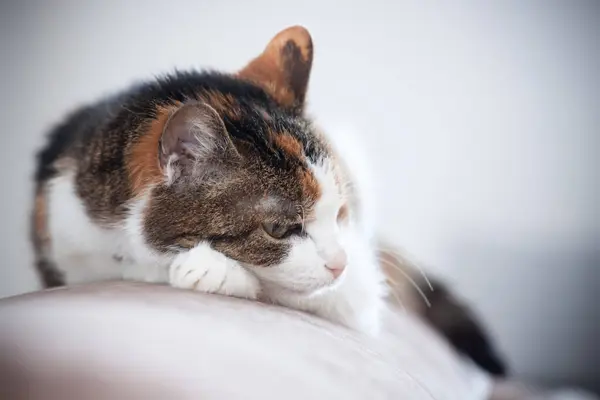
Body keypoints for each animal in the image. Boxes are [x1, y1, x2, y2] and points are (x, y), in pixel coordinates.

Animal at [31, 24, 506, 376]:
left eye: (340, 213)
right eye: (280, 228)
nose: (341, 262)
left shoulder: (358, 290)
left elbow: (289, 286)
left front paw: (207, 269)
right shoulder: (63, 236)